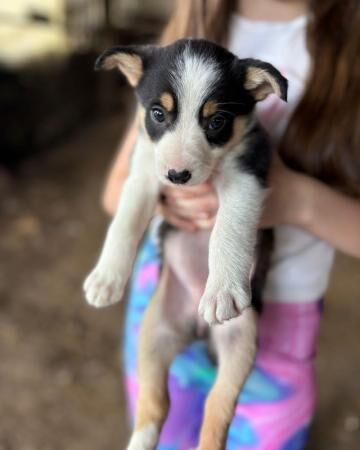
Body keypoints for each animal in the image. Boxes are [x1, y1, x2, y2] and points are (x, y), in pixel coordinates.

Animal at [83, 38, 286, 450]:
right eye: (158, 113)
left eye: (216, 121)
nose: (177, 176)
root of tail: (195, 330)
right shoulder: (144, 171)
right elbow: (124, 221)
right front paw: (106, 279)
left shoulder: (247, 175)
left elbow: (228, 228)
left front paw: (221, 291)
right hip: (153, 334)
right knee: (155, 404)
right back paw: (140, 441)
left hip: (241, 342)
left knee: (216, 410)